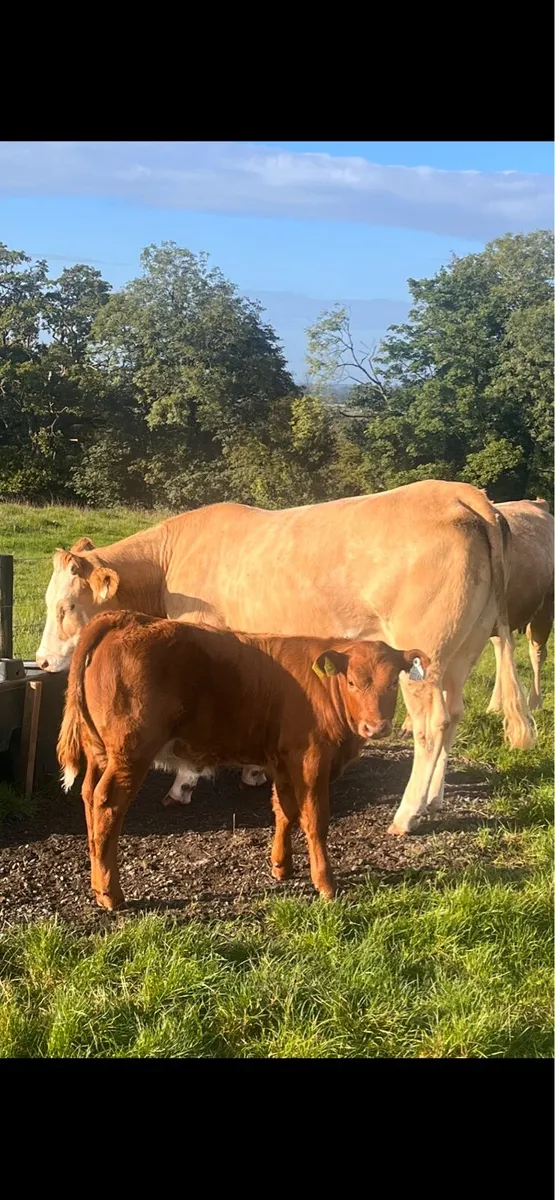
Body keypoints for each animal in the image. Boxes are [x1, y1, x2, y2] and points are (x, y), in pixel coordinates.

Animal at [39, 480, 535, 834]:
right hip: (462, 650)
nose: (42, 661)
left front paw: (185, 783)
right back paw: (434, 798)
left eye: (67, 606)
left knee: (431, 725)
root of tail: (463, 495)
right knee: (453, 715)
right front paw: (255, 772)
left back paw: (407, 814)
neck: (171, 561)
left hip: (422, 656)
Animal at [57, 609, 429, 910]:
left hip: (100, 752)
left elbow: (284, 810)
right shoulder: (311, 761)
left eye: (392, 684)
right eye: (352, 682)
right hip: (130, 753)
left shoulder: (283, 762)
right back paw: (110, 894)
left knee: (89, 796)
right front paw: (325, 883)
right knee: (107, 804)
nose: (376, 727)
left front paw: (282, 866)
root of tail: (130, 618)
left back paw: (97, 882)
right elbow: (315, 819)